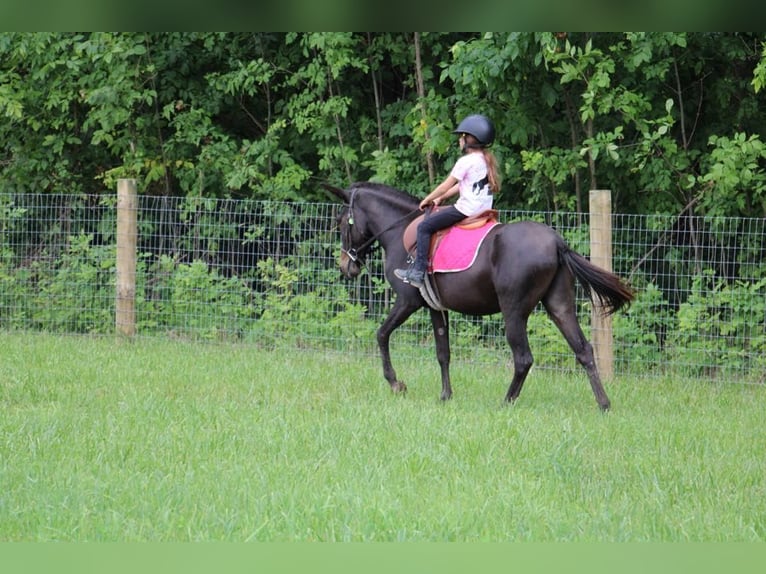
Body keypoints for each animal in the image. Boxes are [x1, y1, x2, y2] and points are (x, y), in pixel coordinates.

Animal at [328, 182, 636, 412]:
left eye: (342, 221)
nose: (345, 266)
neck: (399, 232)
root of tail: (557, 242)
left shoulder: (407, 302)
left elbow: (381, 334)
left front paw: (396, 383)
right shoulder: (435, 307)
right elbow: (443, 352)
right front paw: (445, 395)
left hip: (514, 311)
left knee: (523, 358)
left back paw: (506, 402)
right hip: (559, 306)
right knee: (583, 350)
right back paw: (604, 404)